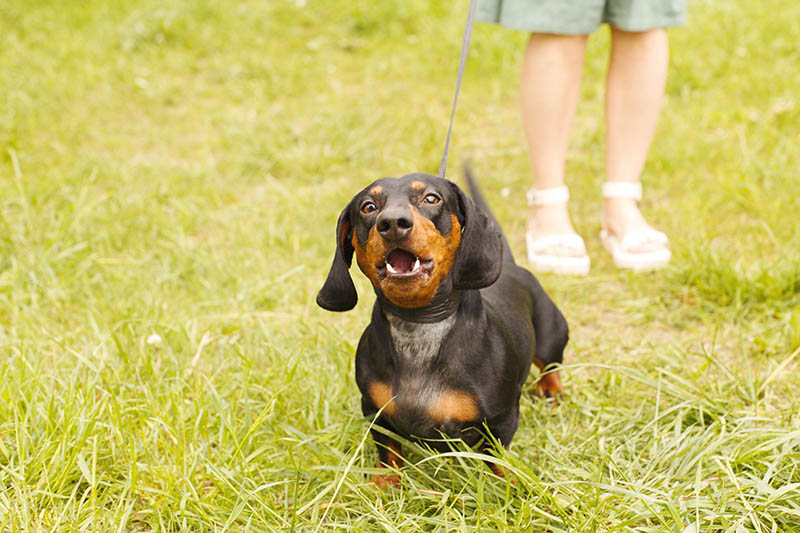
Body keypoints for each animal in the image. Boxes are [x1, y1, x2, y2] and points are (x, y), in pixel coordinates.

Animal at [316, 170, 564, 486]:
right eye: (368, 207)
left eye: (431, 198)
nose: (392, 223)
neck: (420, 322)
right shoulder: (374, 412)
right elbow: (388, 451)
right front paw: (385, 484)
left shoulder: (501, 419)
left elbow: (496, 458)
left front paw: (507, 486)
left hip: (552, 337)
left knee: (550, 366)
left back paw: (552, 391)